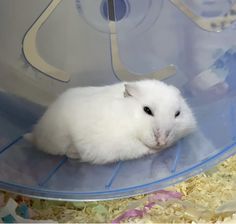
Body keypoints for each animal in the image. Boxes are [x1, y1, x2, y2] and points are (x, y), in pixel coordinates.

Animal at [24, 79, 196, 164]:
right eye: (147, 110)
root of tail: (36, 132)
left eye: (178, 114)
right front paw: (156, 150)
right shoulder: (123, 144)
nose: (162, 142)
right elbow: (141, 149)